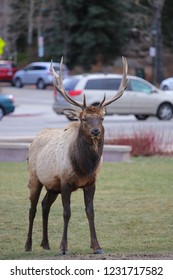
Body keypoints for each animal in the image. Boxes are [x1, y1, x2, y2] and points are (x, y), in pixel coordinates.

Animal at [24, 55, 127, 255]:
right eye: (83, 118)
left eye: (102, 118)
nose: (96, 131)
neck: (84, 166)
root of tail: (34, 139)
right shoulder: (65, 181)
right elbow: (67, 212)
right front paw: (63, 247)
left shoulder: (91, 183)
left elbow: (90, 212)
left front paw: (97, 247)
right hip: (35, 177)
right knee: (32, 208)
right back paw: (28, 245)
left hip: (52, 185)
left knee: (45, 205)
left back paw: (45, 244)